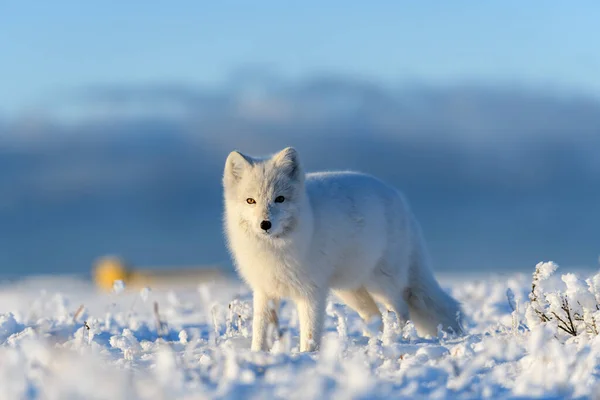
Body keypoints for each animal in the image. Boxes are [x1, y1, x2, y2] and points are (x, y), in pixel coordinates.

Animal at [225, 147, 464, 350]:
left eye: (280, 199)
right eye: (250, 201)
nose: (265, 224)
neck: (275, 248)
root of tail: (400, 198)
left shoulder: (312, 292)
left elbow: (310, 334)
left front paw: (306, 357)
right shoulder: (264, 290)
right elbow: (260, 331)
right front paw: (257, 355)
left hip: (380, 282)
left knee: (401, 310)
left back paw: (396, 339)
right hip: (350, 290)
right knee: (375, 316)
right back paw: (372, 342)